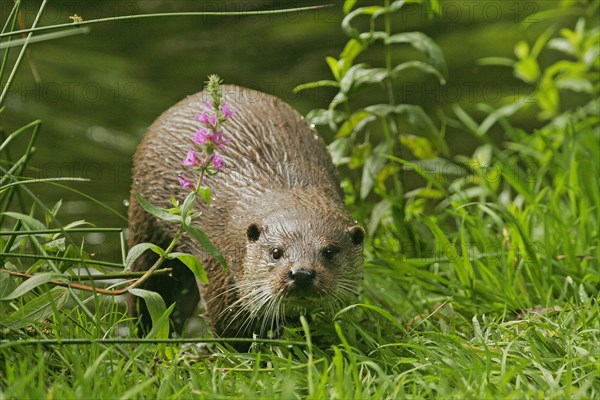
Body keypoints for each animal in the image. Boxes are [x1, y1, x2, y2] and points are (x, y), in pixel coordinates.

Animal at [127, 84, 366, 338]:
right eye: (275, 252)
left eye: (329, 251)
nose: (301, 273)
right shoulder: (218, 271)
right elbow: (229, 330)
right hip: (147, 228)